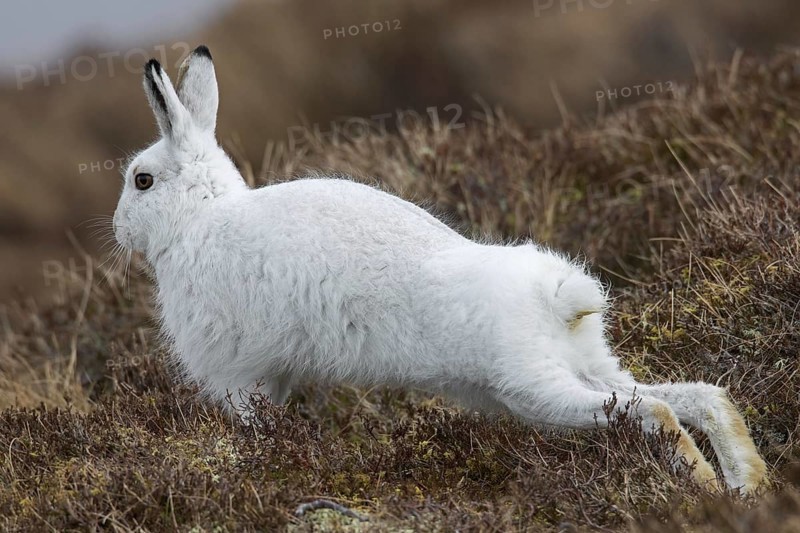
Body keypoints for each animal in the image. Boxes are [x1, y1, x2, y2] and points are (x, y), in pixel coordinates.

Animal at [113, 45, 768, 494]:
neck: (199, 218)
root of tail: (559, 294)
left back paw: (704, 490)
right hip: (584, 367)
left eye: (141, 181)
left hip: (533, 389)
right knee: (699, 397)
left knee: (653, 411)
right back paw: (747, 486)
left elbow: (253, 423)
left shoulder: (237, 376)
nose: (119, 232)